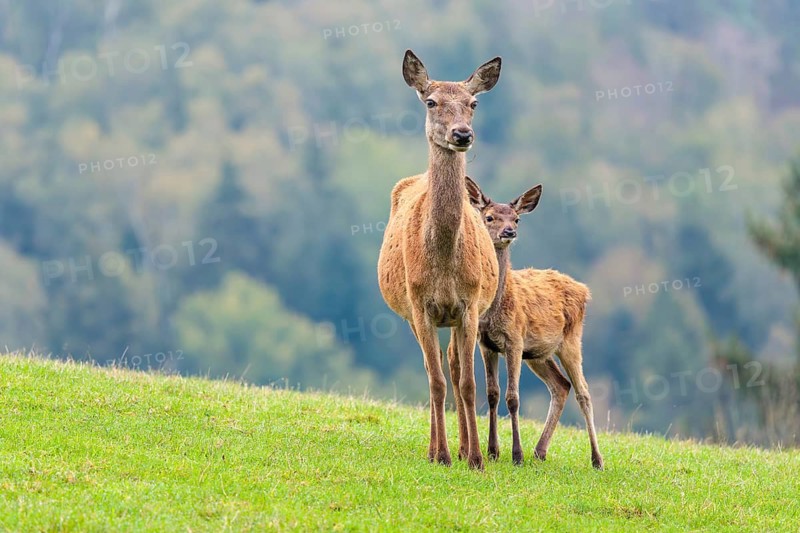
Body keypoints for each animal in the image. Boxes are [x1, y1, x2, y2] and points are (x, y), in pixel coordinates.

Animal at [377, 50, 502, 470]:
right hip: (411, 315)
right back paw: (438, 449)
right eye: (431, 102)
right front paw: (442, 455)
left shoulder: (469, 304)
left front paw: (476, 457)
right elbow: (436, 382)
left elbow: (466, 382)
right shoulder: (420, 305)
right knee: (432, 370)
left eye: (474, 103)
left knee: (454, 366)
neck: (445, 266)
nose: (462, 134)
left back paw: (464, 447)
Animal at [456, 176, 604, 470]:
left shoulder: (514, 340)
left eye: (517, 218)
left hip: (571, 340)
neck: (495, 309)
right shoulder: (486, 344)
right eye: (489, 217)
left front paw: (516, 454)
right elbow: (492, 393)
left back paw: (596, 459)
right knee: (561, 386)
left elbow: (513, 398)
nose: (509, 232)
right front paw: (493, 451)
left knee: (583, 392)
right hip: (539, 354)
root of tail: (584, 289)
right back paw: (540, 450)